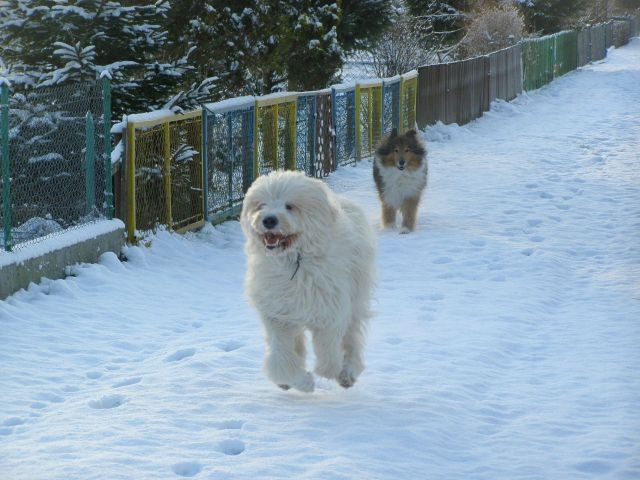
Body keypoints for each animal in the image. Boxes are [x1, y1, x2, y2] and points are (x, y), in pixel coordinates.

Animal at [242, 171, 378, 392]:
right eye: (261, 205)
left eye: (289, 206)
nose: (269, 220)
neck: (295, 260)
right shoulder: (277, 315)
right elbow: (280, 355)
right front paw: (301, 381)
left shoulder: (330, 308)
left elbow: (328, 345)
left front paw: (328, 370)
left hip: (356, 296)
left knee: (352, 337)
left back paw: (347, 373)